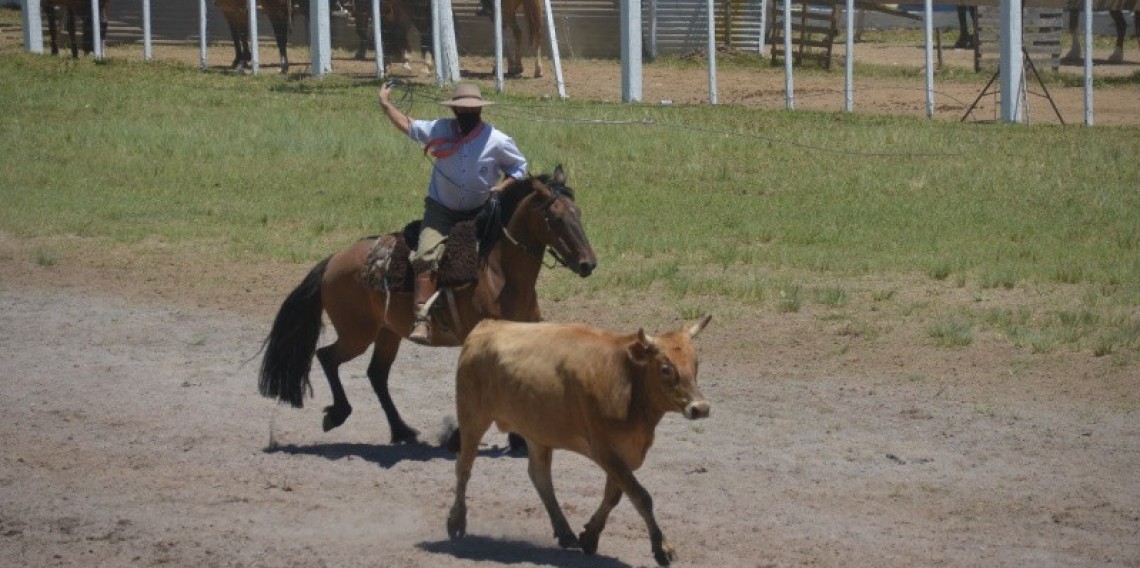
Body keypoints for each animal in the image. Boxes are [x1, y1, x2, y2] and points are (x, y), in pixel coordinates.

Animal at [257, 166, 597, 447]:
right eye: (556, 218)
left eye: (579, 212)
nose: (588, 263)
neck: (498, 273)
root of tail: (333, 260)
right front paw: (462, 438)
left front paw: (516, 440)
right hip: (357, 333)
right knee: (327, 357)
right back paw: (338, 414)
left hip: (388, 333)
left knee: (376, 375)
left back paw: (402, 430)